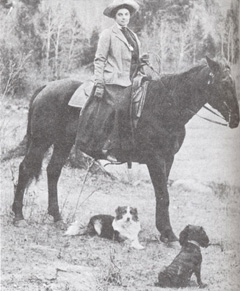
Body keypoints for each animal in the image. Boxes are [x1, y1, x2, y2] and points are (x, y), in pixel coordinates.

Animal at [12, 57, 239, 244]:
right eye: (225, 82)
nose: (236, 118)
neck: (165, 105)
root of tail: (46, 87)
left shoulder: (168, 159)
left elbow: (162, 195)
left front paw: (165, 233)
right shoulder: (156, 159)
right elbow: (163, 195)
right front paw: (169, 234)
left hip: (62, 143)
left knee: (53, 171)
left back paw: (57, 216)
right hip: (41, 141)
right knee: (25, 169)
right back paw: (18, 216)